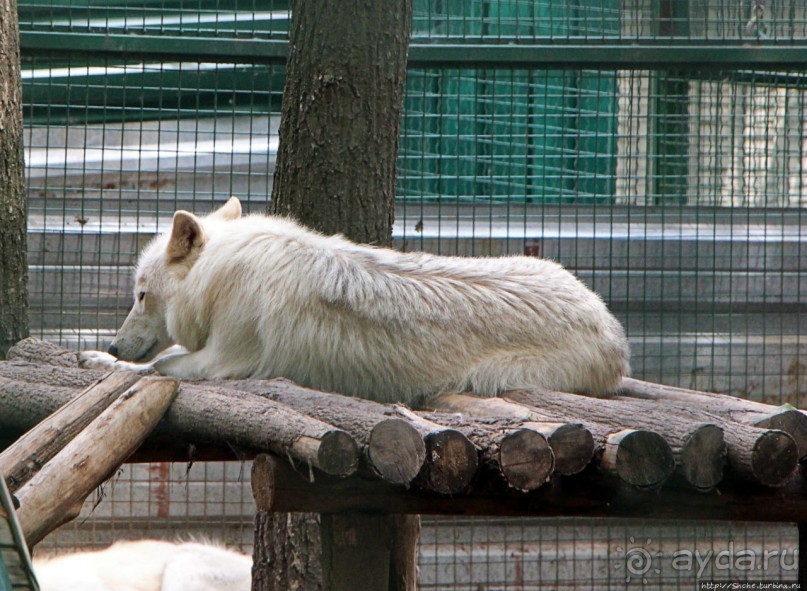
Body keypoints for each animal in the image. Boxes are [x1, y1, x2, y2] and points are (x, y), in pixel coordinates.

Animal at [82, 199, 628, 402]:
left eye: (141, 295)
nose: (112, 344)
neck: (219, 274)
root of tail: (613, 328)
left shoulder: (220, 361)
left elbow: (160, 364)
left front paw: (108, 362)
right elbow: (155, 362)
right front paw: (100, 359)